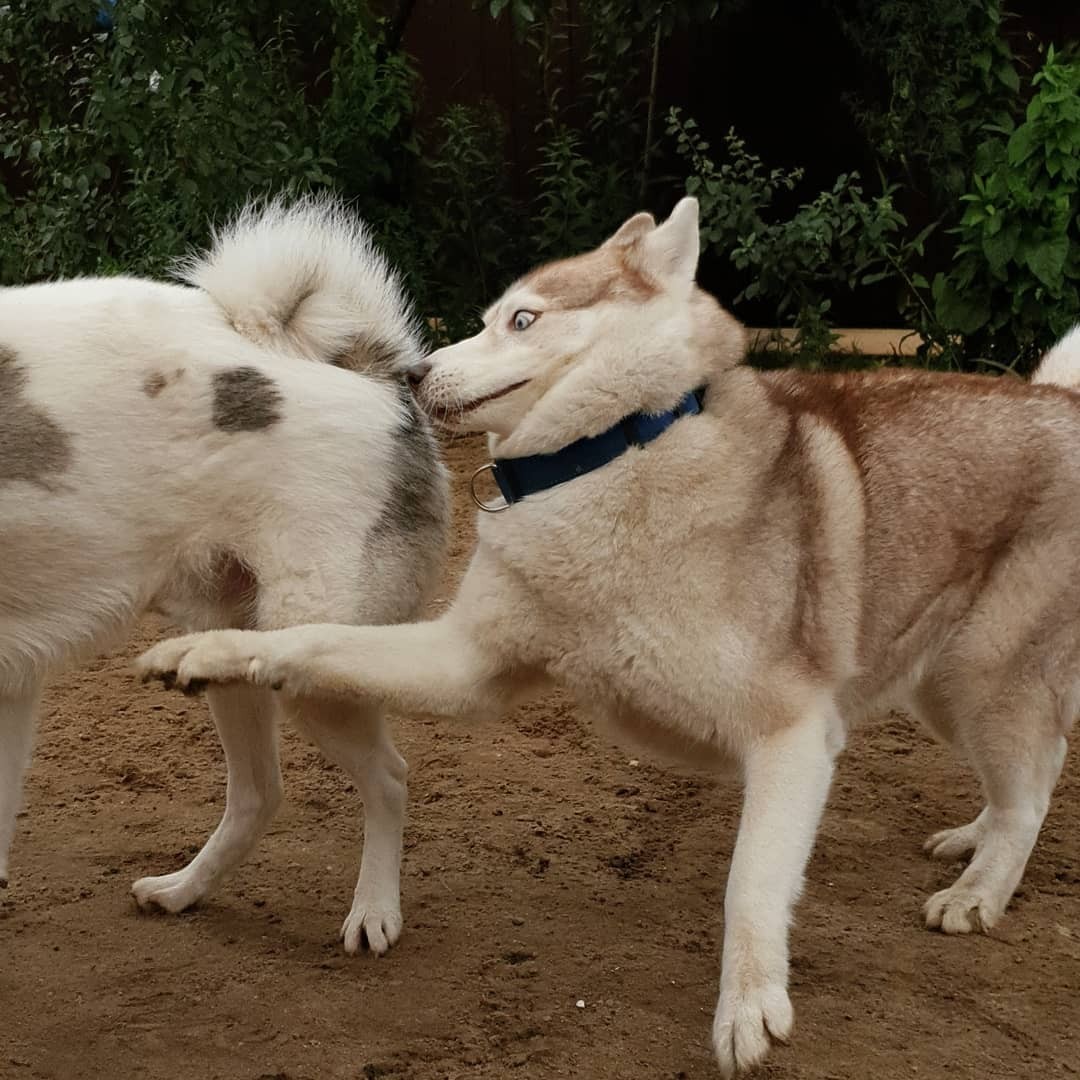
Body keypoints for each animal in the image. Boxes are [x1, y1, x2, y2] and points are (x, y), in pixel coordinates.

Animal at [0, 196, 447, 954]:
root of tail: (370, 375)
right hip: (228, 657)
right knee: (259, 795)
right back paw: (184, 890)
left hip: (315, 667)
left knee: (388, 779)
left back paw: (373, 911)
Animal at [139, 200, 1075, 1071]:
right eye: (482, 317)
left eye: (522, 320)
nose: (411, 370)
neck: (609, 457)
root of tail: (1058, 400)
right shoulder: (463, 662)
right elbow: (313, 640)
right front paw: (203, 652)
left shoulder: (793, 736)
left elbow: (750, 883)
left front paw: (749, 1007)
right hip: (938, 688)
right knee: (1033, 771)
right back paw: (973, 841)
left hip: (978, 678)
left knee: (1029, 793)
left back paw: (978, 891)